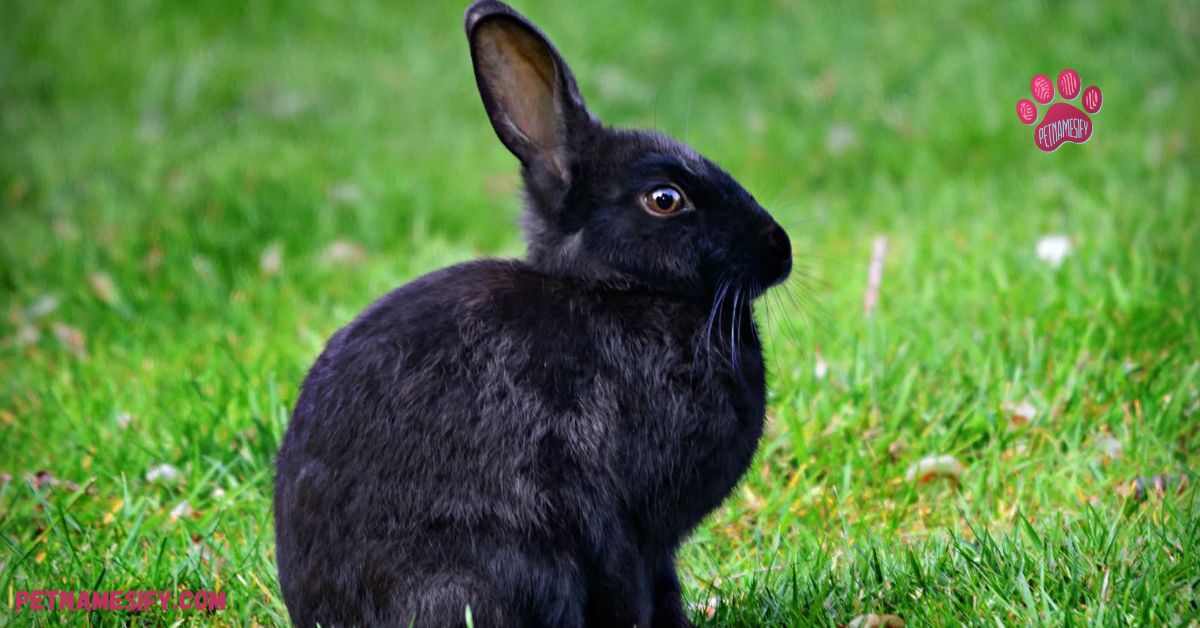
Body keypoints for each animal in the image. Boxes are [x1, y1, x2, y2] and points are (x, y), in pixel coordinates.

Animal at [274, 2, 792, 624]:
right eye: (665, 199)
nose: (780, 248)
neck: (620, 289)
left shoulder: (653, 547)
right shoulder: (622, 525)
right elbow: (633, 588)